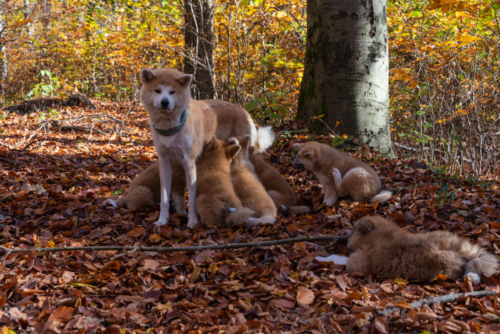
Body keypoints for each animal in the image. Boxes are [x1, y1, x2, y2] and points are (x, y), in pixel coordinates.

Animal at [140, 69, 274, 228]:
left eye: (172, 92)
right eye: (158, 91)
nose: (165, 102)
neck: (171, 130)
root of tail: (244, 111)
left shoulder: (189, 163)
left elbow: (192, 200)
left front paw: (192, 221)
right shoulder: (165, 163)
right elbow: (165, 199)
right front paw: (162, 220)